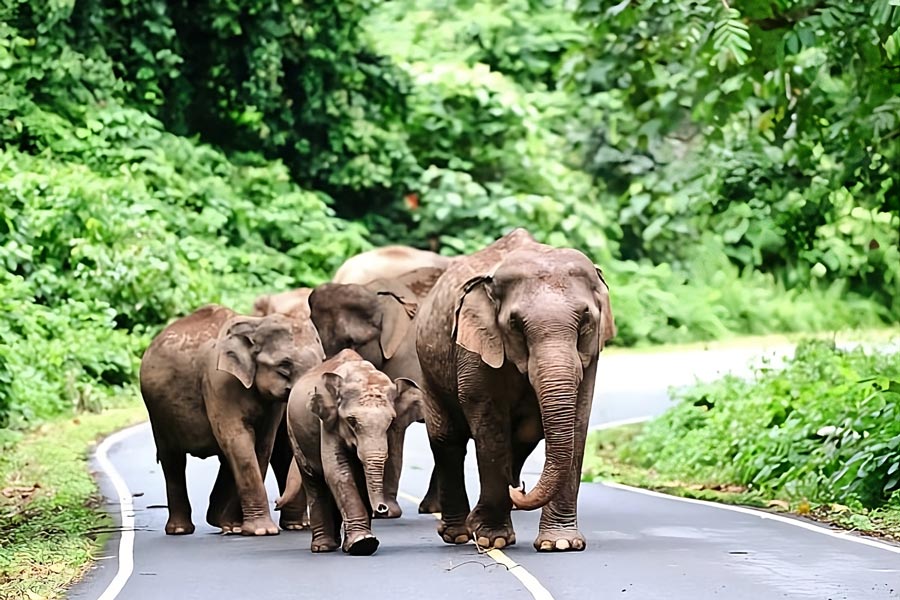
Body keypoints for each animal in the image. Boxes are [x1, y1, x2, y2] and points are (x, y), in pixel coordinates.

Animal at [139, 304, 326, 536]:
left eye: (323, 361)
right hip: (157, 414)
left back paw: (227, 524)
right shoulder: (218, 381)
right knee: (172, 459)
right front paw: (261, 531)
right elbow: (239, 441)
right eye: (284, 366)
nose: (276, 502)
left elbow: (262, 445)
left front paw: (241, 527)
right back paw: (182, 529)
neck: (255, 324)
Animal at [286, 350, 424, 556]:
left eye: (391, 421)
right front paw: (363, 544)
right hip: (293, 432)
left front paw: (361, 544)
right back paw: (322, 547)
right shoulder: (328, 423)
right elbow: (338, 472)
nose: (382, 508)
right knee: (313, 480)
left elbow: (361, 476)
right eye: (351, 420)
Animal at [416, 229, 620, 552]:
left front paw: (561, 544)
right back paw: (458, 534)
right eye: (515, 324)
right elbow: (489, 426)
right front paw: (492, 538)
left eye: (586, 320)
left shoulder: (591, 355)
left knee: (523, 439)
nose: (520, 488)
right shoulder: (475, 348)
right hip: (429, 370)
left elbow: (578, 421)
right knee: (447, 439)